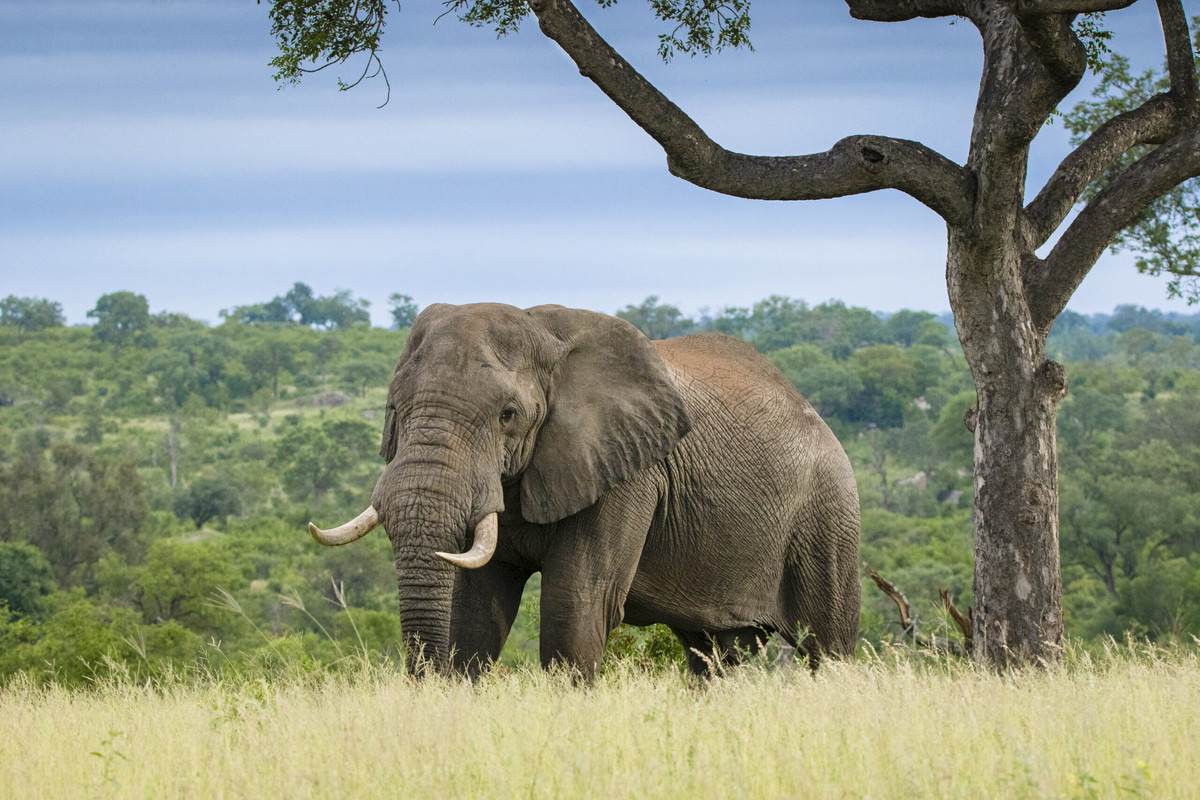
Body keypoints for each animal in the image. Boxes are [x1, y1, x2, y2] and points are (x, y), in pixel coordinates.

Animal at [310, 303, 861, 678]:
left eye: (508, 414)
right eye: (393, 410)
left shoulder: (629, 472)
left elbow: (576, 601)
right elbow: (475, 608)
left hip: (827, 515)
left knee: (827, 646)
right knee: (714, 655)